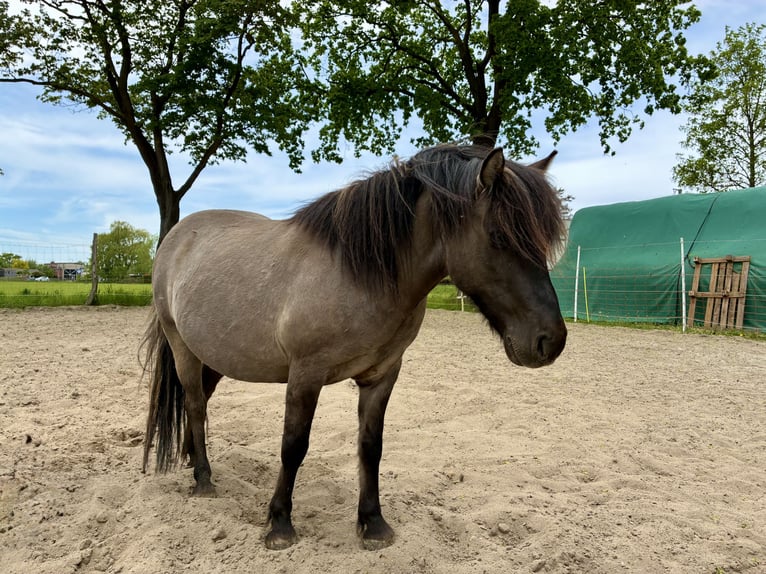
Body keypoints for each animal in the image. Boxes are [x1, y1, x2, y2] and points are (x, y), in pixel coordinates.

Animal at [142, 143, 567, 551]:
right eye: (498, 236)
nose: (550, 341)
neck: (360, 273)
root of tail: (177, 237)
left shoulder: (382, 375)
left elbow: (370, 447)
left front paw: (373, 524)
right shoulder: (305, 375)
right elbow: (293, 446)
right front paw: (279, 524)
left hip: (214, 355)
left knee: (199, 401)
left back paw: (192, 460)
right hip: (182, 347)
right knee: (195, 404)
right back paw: (203, 480)